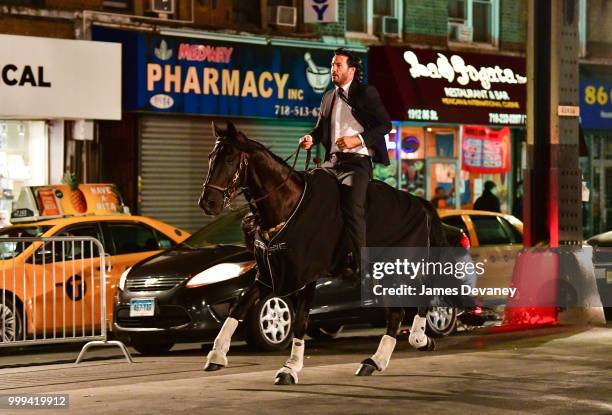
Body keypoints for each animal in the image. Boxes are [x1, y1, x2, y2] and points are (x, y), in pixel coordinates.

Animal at [201, 122, 444, 386]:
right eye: (211, 157)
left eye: (230, 159)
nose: (208, 203)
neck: (287, 203)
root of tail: (421, 204)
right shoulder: (269, 274)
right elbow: (239, 307)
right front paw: (217, 354)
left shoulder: (307, 275)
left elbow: (299, 320)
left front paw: (290, 367)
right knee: (398, 312)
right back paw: (380, 359)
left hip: (402, 267)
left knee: (420, 297)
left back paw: (415, 340)